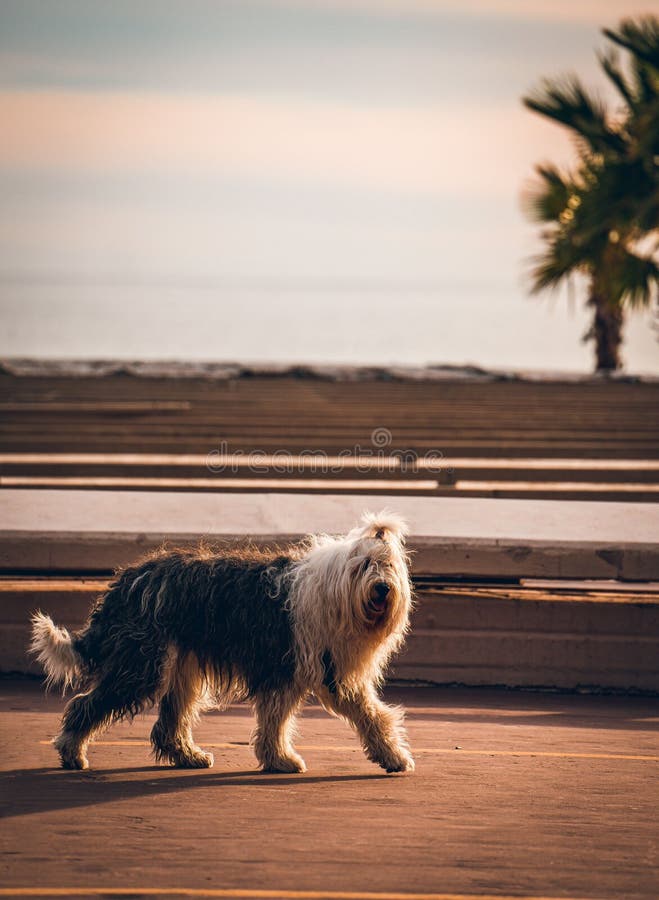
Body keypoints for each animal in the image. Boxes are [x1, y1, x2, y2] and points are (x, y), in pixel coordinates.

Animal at [31, 512, 416, 772]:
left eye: (389, 566)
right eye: (365, 565)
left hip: (179, 669)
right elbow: (281, 719)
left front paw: (392, 756)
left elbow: (366, 714)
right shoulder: (291, 668)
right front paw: (281, 759)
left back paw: (190, 756)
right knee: (86, 704)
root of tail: (127, 580)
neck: (335, 593)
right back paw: (71, 751)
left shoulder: (321, 673)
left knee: (169, 724)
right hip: (141, 665)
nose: (383, 588)